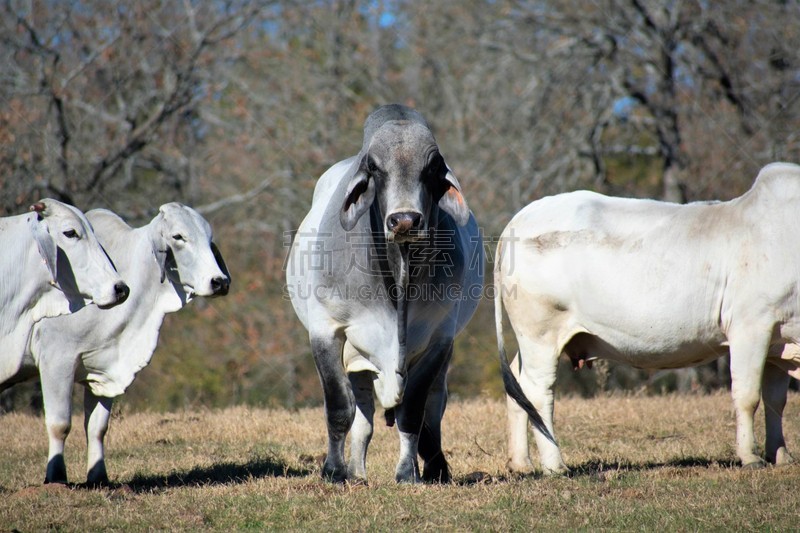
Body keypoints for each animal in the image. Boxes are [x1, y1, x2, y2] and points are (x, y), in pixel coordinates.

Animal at [14, 202, 228, 484]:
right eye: (178, 237)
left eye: (209, 237)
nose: (219, 281)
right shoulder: (56, 359)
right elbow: (60, 424)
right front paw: (55, 478)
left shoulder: (103, 370)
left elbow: (97, 427)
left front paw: (98, 477)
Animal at [288, 104, 484, 482]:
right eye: (375, 167)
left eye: (432, 167)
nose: (405, 220)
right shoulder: (325, 330)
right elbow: (339, 407)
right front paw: (333, 471)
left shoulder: (439, 338)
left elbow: (413, 412)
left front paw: (408, 472)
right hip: (358, 361)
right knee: (363, 417)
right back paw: (356, 471)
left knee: (434, 408)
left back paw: (435, 467)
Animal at [496, 162, 800, 474]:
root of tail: (520, 218)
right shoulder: (751, 325)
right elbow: (748, 396)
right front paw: (751, 457)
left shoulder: (778, 341)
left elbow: (776, 400)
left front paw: (781, 455)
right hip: (541, 335)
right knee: (538, 391)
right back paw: (555, 465)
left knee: (517, 387)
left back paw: (521, 463)